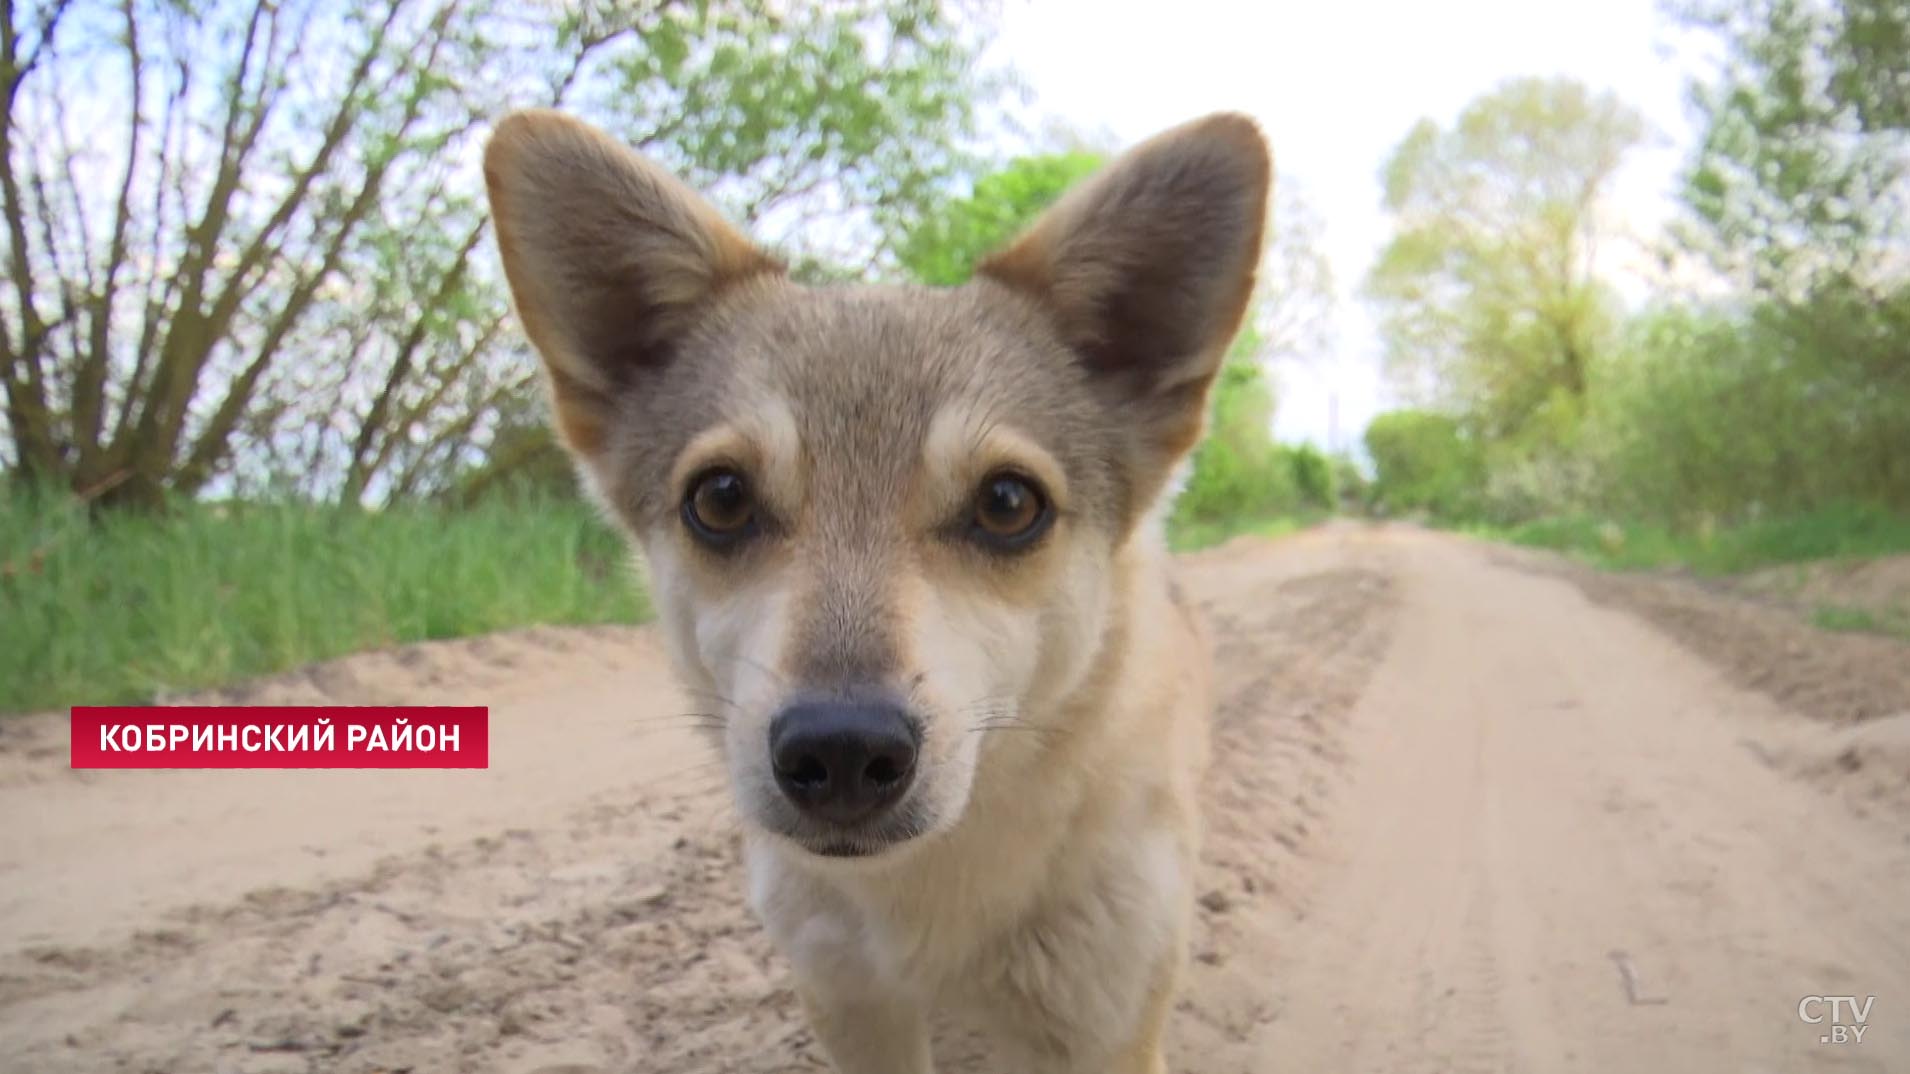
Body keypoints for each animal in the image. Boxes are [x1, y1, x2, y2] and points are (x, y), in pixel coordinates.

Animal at [485, 110, 1275, 1070]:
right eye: (721, 498)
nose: (841, 751)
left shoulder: (1103, 1023)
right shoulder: (851, 1002)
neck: (930, 884)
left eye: (1008, 504)